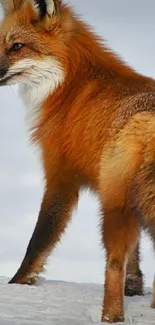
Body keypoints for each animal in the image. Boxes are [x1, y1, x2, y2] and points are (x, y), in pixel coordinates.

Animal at [0, 0, 155, 320]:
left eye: (17, 46)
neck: (69, 88)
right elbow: (136, 257)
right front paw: (135, 288)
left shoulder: (61, 175)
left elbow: (39, 239)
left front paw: (18, 283)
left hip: (113, 207)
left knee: (112, 265)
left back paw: (111, 318)